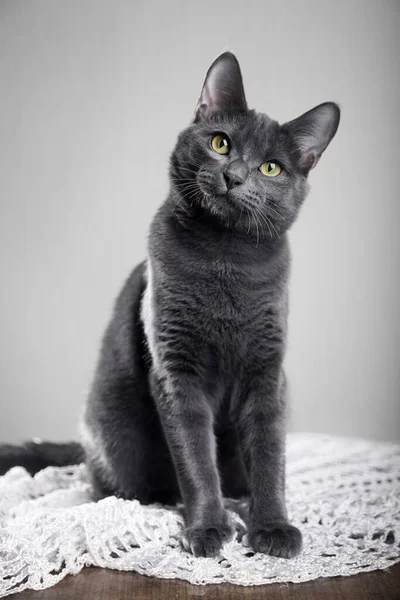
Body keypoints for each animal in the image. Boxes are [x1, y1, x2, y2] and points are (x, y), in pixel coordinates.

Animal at [0, 54, 340, 560]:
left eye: (271, 168)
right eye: (221, 143)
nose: (234, 175)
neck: (225, 257)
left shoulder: (266, 371)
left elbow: (269, 455)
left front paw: (274, 528)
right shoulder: (176, 369)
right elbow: (195, 457)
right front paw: (207, 528)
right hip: (117, 433)